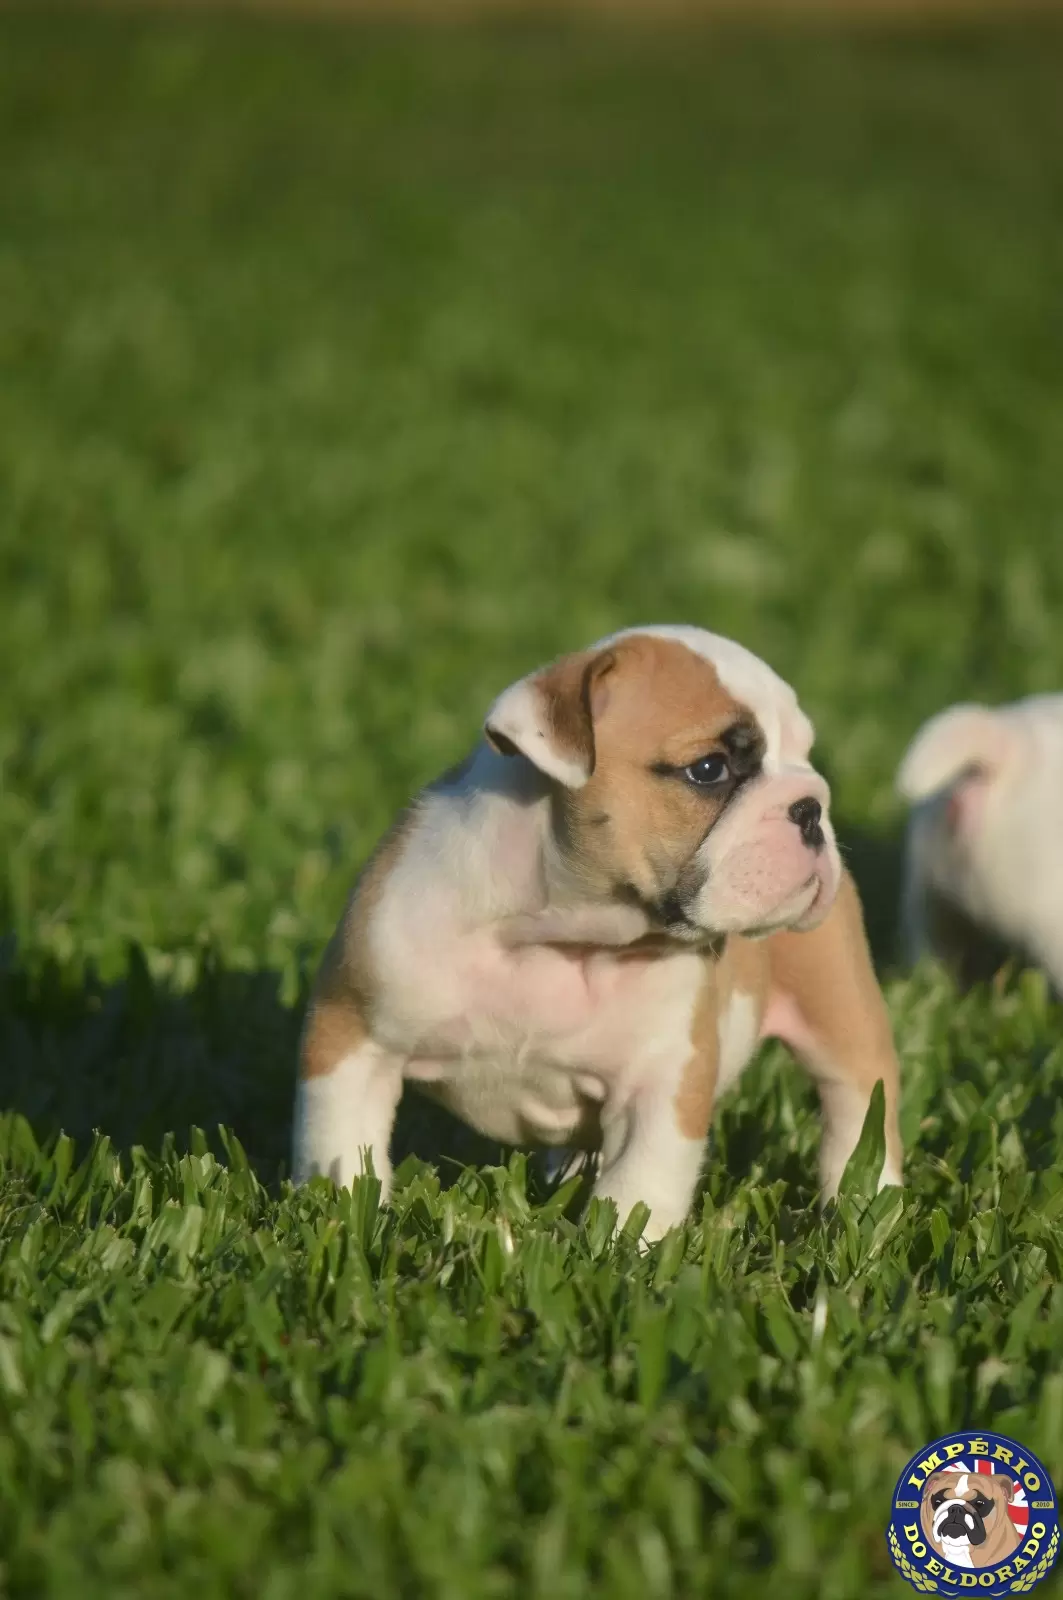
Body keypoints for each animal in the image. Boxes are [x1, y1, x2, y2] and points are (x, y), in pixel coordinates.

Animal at [292, 624, 902, 1235]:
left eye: (804, 753)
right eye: (709, 769)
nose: (811, 806)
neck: (556, 937)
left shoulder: (660, 1084)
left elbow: (641, 1188)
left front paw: (625, 1250)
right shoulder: (353, 1040)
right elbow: (340, 1144)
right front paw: (340, 1214)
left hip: (841, 1013)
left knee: (857, 1109)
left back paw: (870, 1206)